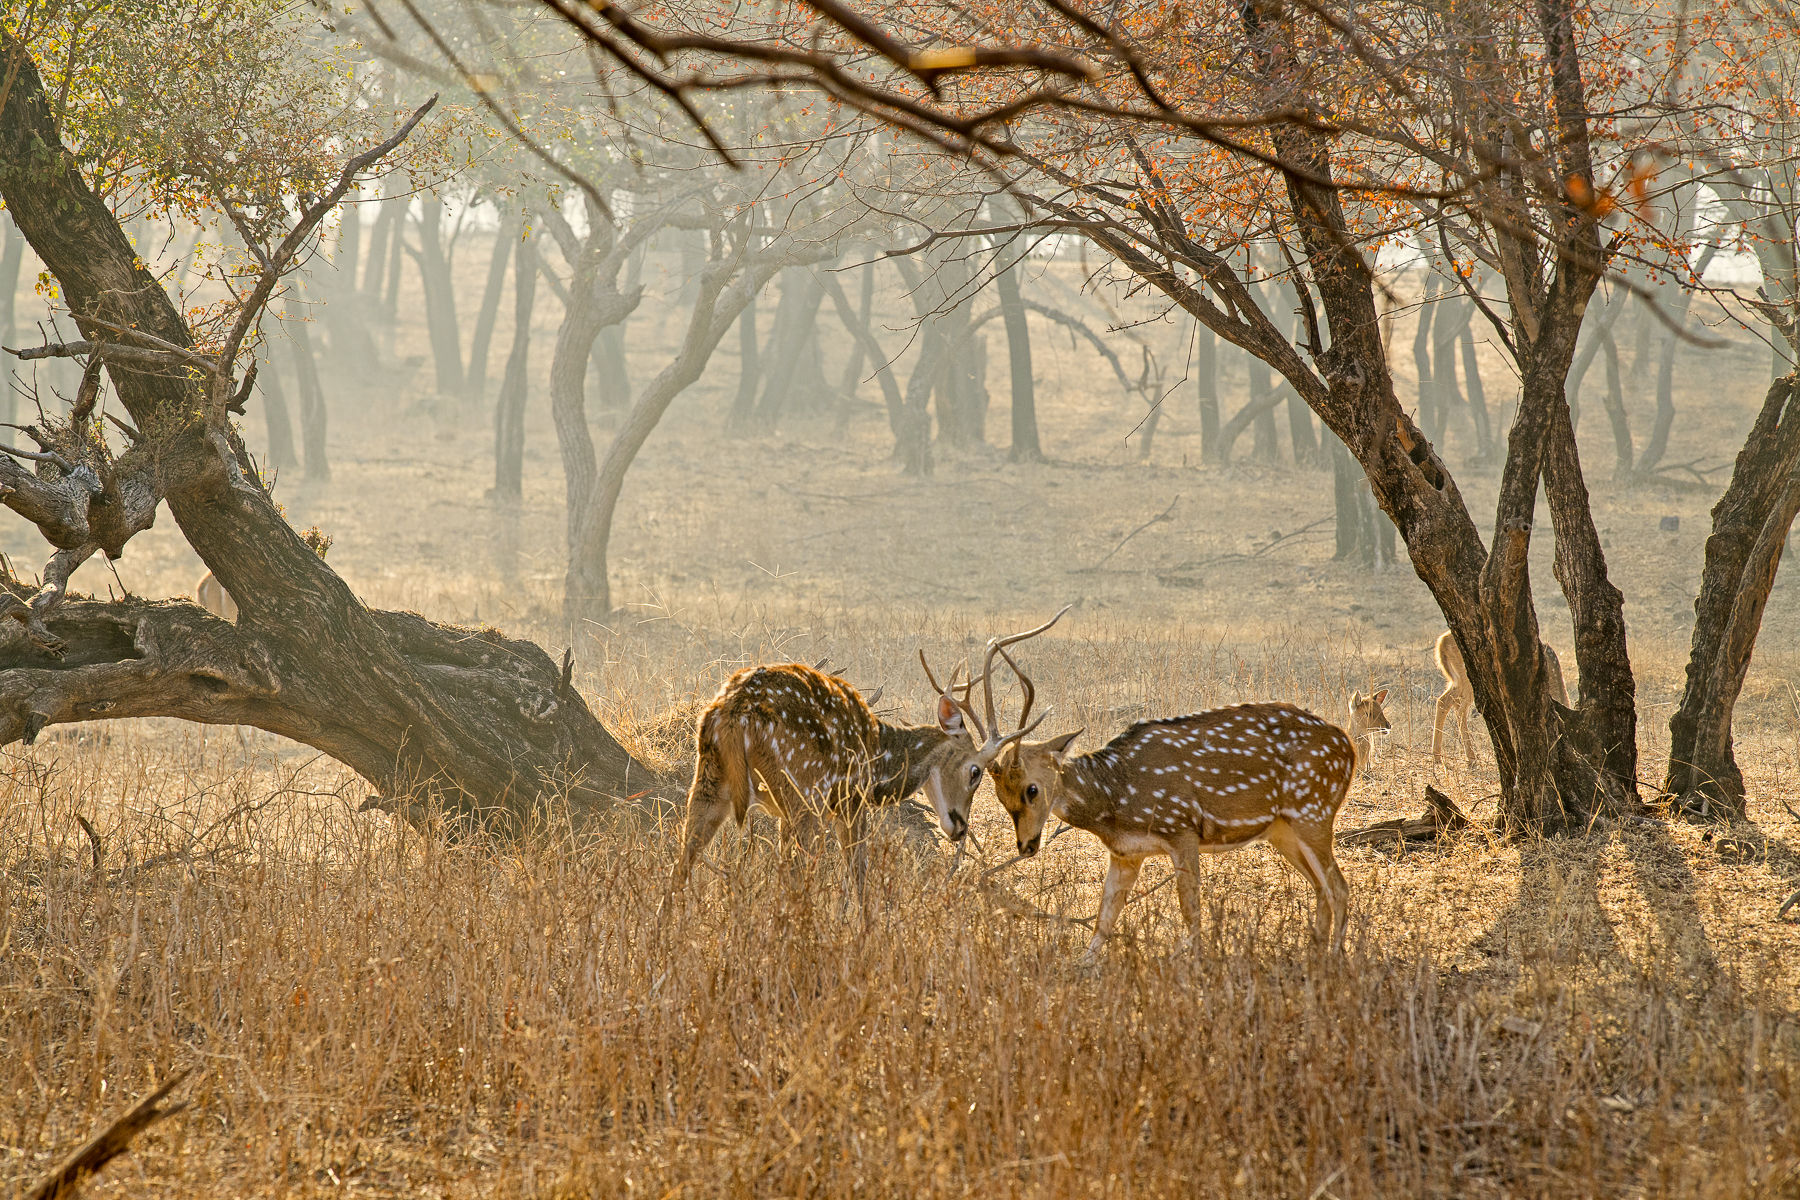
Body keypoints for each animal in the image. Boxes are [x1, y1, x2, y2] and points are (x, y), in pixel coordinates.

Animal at [669, 611, 1068, 896]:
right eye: (975, 771)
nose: (959, 827)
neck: (882, 763)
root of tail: (734, 711)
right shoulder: (851, 800)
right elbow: (858, 874)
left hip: (710, 780)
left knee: (681, 865)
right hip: (802, 791)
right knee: (796, 872)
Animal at [985, 647, 1354, 960]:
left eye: (1032, 789)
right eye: (1001, 795)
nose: (1027, 845)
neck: (1116, 801)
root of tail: (1348, 746)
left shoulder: (1182, 828)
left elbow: (1191, 911)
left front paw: (1196, 965)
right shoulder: (1126, 853)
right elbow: (1105, 916)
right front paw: (1083, 967)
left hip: (1315, 810)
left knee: (1339, 887)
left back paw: (1335, 959)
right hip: (1283, 830)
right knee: (1321, 887)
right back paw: (1314, 955)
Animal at [1432, 630, 1569, 769]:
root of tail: (1442, 642)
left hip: (1458, 680)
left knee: (1443, 701)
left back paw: (1438, 757)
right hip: (1468, 678)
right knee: (1460, 710)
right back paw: (1471, 759)